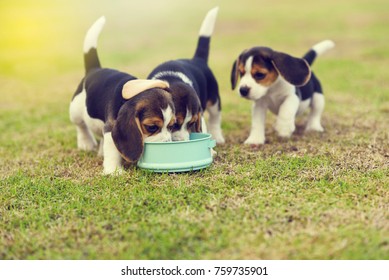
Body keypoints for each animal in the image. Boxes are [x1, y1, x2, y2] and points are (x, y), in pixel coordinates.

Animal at [69, 16, 175, 174]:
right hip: (75, 109)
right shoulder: (111, 127)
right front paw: (114, 172)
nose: (168, 145)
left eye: (172, 125)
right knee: (80, 125)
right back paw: (86, 143)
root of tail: (94, 69)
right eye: (151, 127)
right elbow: (113, 150)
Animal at [147, 7, 224, 143]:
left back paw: (218, 137)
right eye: (174, 124)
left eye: (191, 123)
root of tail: (197, 59)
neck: (170, 78)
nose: (182, 141)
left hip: (215, 100)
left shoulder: (200, 114)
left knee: (215, 118)